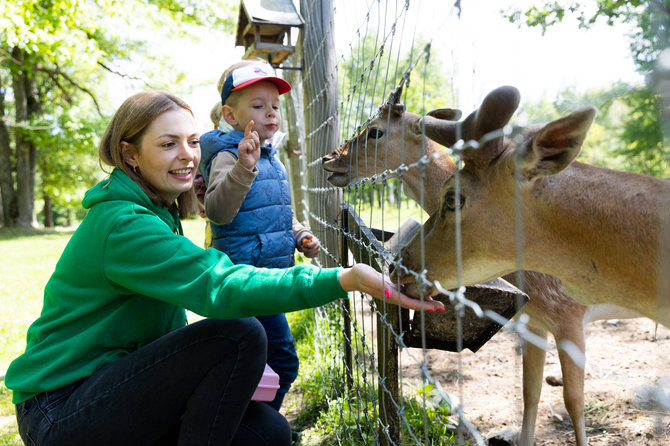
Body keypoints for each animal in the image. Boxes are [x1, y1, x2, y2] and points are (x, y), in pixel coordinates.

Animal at [322, 85, 648, 444]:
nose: (328, 159)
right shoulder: (534, 321)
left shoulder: (570, 314)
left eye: (374, 131)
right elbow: (530, 393)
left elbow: (574, 402)